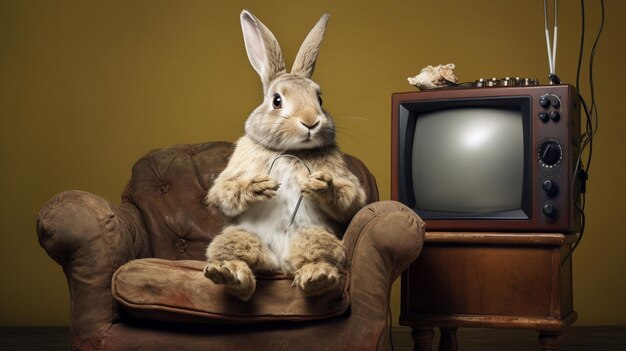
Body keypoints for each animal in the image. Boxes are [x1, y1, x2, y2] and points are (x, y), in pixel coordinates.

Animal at [202, 9, 364, 302]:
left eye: (320, 99)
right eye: (277, 100)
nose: (311, 122)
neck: (291, 151)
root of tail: (277, 261)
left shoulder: (343, 176)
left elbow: (350, 196)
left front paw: (319, 184)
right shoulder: (235, 170)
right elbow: (223, 193)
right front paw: (259, 187)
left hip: (316, 237)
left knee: (314, 259)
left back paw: (317, 278)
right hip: (236, 238)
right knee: (243, 265)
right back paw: (228, 274)